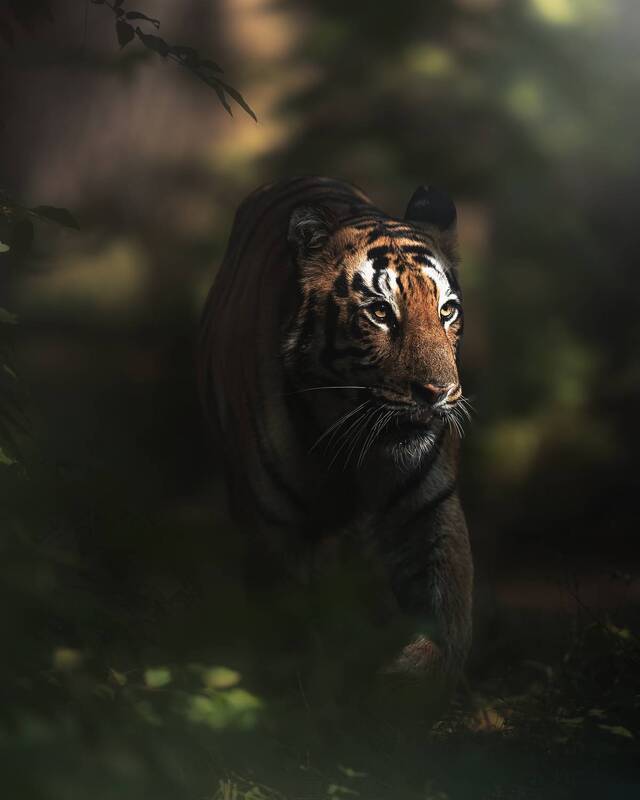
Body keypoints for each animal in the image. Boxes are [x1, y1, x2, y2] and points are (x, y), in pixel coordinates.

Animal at [198, 176, 473, 690]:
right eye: (381, 313)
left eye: (446, 311)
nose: (439, 392)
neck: (347, 441)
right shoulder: (275, 532)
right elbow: (289, 633)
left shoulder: (426, 505)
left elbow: (444, 611)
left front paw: (409, 682)